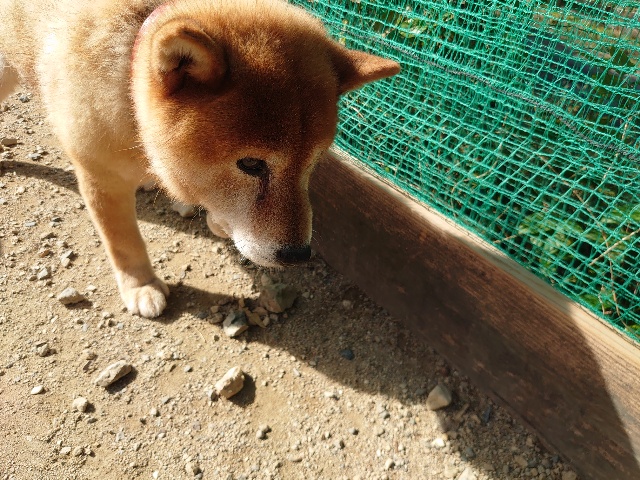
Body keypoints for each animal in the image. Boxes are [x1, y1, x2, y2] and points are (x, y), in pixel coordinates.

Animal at [0, 0, 400, 318]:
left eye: (313, 163)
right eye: (251, 165)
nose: (298, 255)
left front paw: (218, 221)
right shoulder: (99, 174)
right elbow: (123, 241)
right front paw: (141, 285)